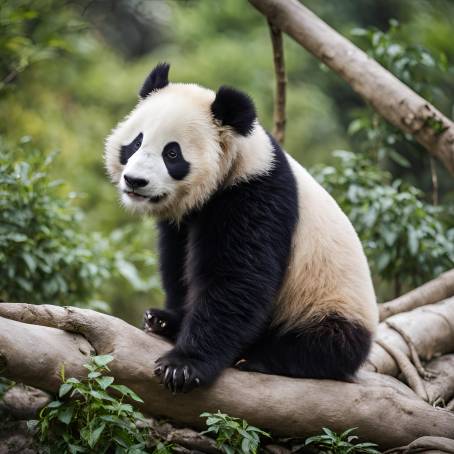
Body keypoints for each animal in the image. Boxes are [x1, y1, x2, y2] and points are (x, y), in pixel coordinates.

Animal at [104, 63, 378, 394]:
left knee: (322, 345)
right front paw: (170, 318)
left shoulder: (255, 194)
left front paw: (182, 366)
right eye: (135, 143)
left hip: (327, 302)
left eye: (171, 154)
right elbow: (177, 264)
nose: (135, 181)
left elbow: (237, 280)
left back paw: (261, 356)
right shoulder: (184, 220)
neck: (238, 159)